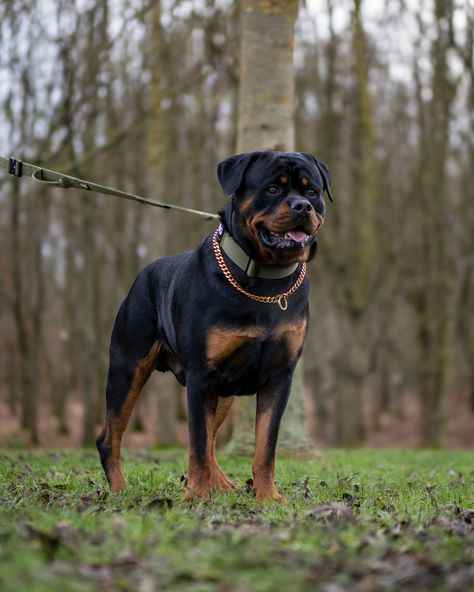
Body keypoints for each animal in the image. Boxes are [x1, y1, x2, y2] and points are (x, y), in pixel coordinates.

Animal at [96, 150, 334, 502]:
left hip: (223, 392)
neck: (265, 279)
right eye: (273, 189)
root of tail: (144, 274)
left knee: (210, 441)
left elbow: (265, 447)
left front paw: (268, 496)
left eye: (312, 191)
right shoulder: (201, 375)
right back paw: (120, 489)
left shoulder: (279, 377)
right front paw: (196, 496)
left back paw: (222, 485)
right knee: (110, 435)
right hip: (129, 369)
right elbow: (196, 444)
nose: (302, 206)